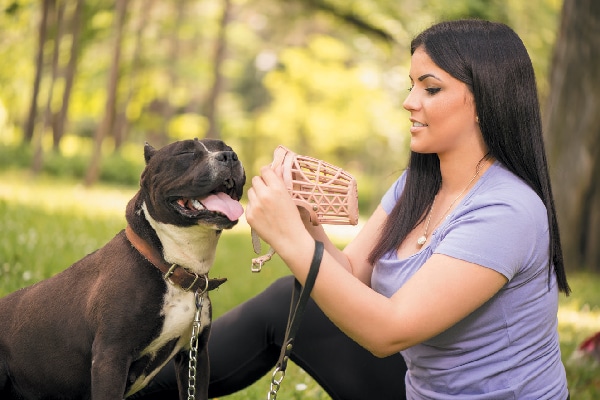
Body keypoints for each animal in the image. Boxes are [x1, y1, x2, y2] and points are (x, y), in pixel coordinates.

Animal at [0, 138, 246, 400]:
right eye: (186, 152)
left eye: (227, 147)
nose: (229, 156)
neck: (168, 264)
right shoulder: (110, 357)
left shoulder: (195, 356)